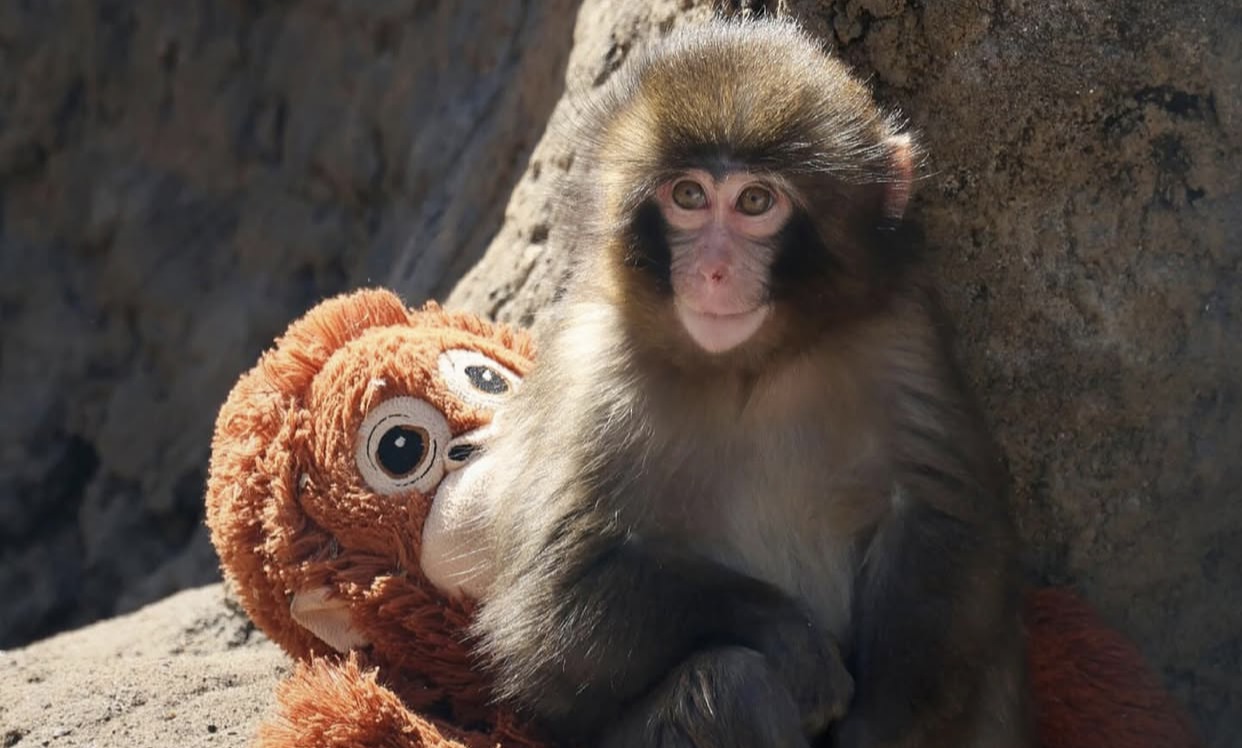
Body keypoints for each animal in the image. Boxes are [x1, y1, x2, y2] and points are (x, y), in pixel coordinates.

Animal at [471, 17, 1033, 748]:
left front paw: (875, 726)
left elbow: (943, 522)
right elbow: (551, 609)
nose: (713, 270)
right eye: (688, 196)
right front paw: (789, 636)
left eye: (755, 202)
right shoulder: (592, 370)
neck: (750, 367)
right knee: (727, 684)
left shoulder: (899, 330)